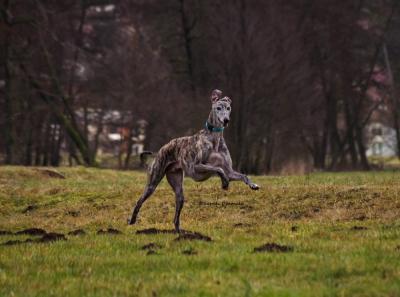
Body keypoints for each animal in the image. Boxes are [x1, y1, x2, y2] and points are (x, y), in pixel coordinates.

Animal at [128, 88, 260, 231]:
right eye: (218, 108)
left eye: (228, 108)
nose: (226, 120)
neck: (214, 138)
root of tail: (160, 151)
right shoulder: (196, 167)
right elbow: (217, 168)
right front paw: (224, 182)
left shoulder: (230, 171)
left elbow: (242, 175)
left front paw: (253, 185)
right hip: (152, 183)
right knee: (139, 201)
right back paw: (132, 220)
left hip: (178, 189)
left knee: (176, 216)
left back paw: (179, 232)